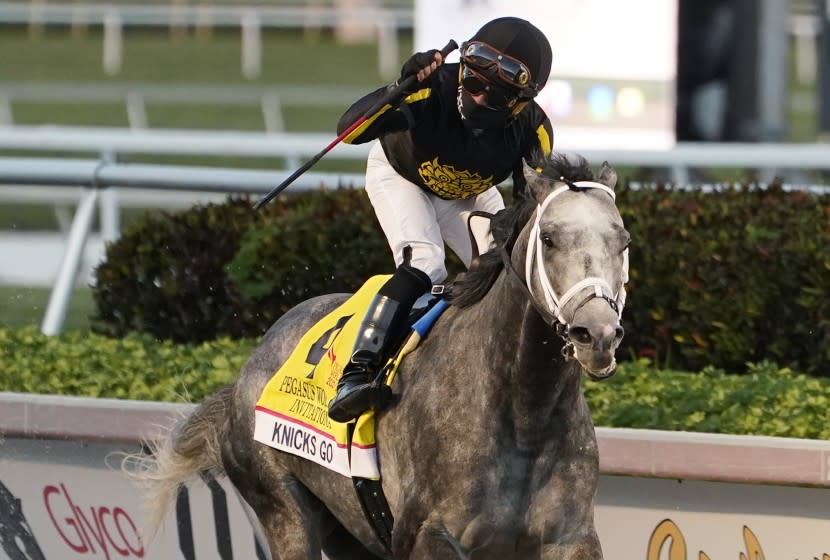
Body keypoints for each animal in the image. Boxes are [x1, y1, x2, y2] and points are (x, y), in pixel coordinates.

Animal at [136, 153, 632, 560]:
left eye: (623, 241)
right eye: (548, 238)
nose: (596, 335)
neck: (522, 409)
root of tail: (246, 371)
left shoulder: (570, 537)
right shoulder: (429, 536)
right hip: (283, 509)